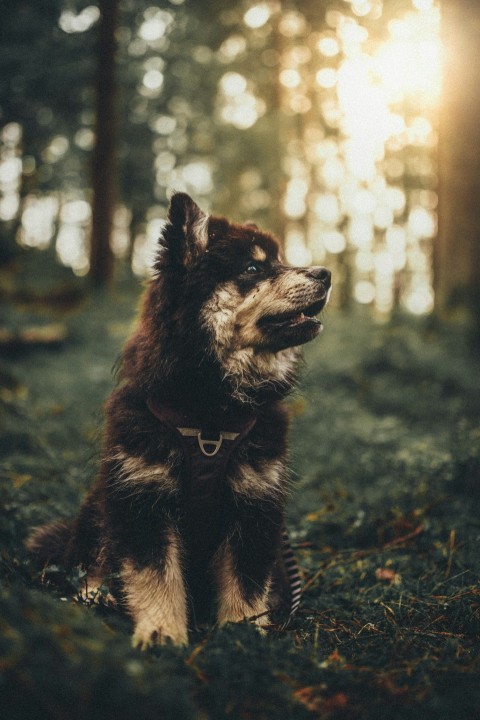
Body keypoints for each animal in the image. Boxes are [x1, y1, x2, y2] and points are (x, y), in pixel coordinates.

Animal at [27, 192, 331, 648]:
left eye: (280, 260)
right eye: (253, 268)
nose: (326, 274)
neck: (211, 415)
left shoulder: (256, 506)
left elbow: (246, 583)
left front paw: (242, 635)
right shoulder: (142, 497)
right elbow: (155, 575)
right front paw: (161, 632)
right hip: (100, 504)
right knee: (91, 559)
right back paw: (94, 592)